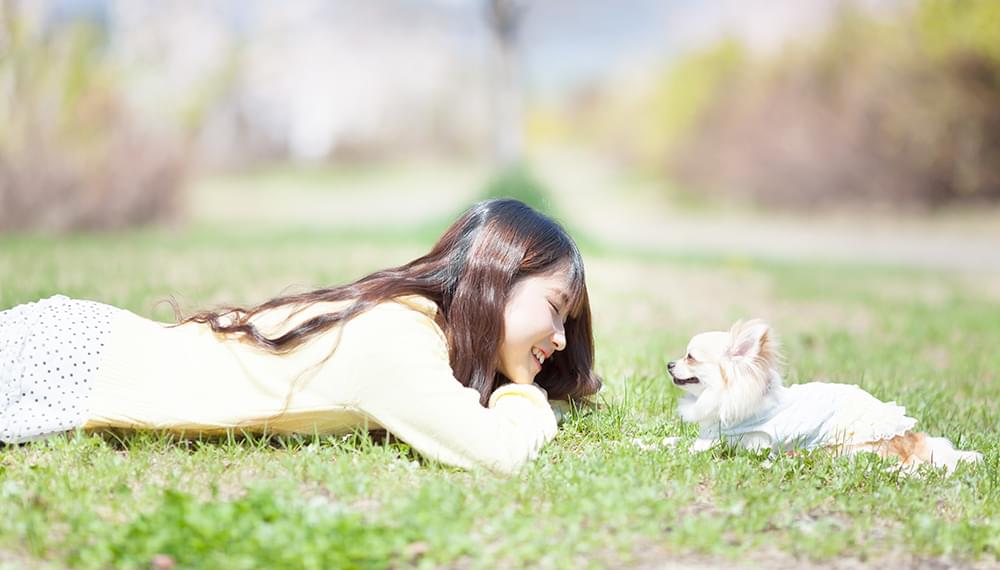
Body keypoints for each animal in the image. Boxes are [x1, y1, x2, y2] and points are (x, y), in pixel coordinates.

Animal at [668, 320, 980, 470]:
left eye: (690, 357)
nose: (669, 364)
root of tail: (912, 437)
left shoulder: (749, 443)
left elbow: (703, 447)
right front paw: (662, 442)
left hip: (848, 446)